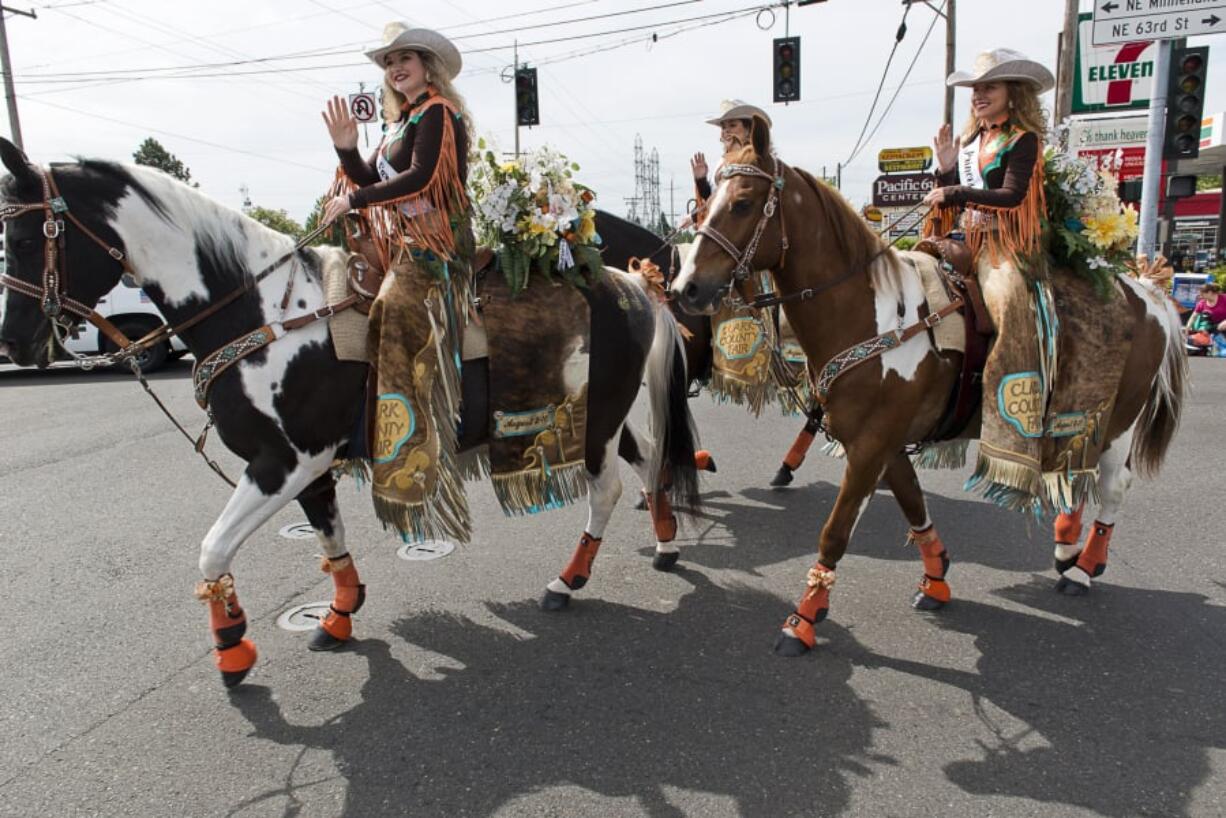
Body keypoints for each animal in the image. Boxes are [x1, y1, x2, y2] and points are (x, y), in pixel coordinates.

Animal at [0, 142, 701, 691]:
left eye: (26, 237)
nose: (18, 341)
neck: (265, 314)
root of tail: (636, 286)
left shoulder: (281, 461)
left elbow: (212, 549)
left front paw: (232, 647)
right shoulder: (308, 466)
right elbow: (329, 538)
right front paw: (338, 615)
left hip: (597, 416)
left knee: (609, 488)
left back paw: (567, 580)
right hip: (607, 414)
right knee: (648, 462)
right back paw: (665, 543)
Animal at [671, 131, 1186, 662]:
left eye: (743, 203)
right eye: (706, 202)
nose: (685, 288)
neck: (875, 317)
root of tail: (1146, 291)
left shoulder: (871, 445)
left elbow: (836, 532)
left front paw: (804, 617)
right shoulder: (886, 443)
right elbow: (914, 504)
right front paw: (936, 577)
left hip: (1118, 420)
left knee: (1112, 485)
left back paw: (1084, 568)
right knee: (1072, 471)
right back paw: (1066, 548)